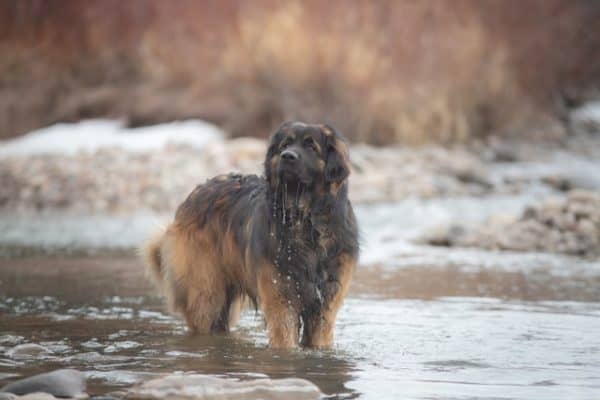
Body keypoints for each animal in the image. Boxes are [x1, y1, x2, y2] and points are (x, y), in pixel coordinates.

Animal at [142, 121, 356, 346]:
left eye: (311, 146)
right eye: (285, 145)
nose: (287, 156)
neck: (303, 221)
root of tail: (189, 199)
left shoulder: (325, 304)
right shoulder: (280, 298)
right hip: (204, 291)